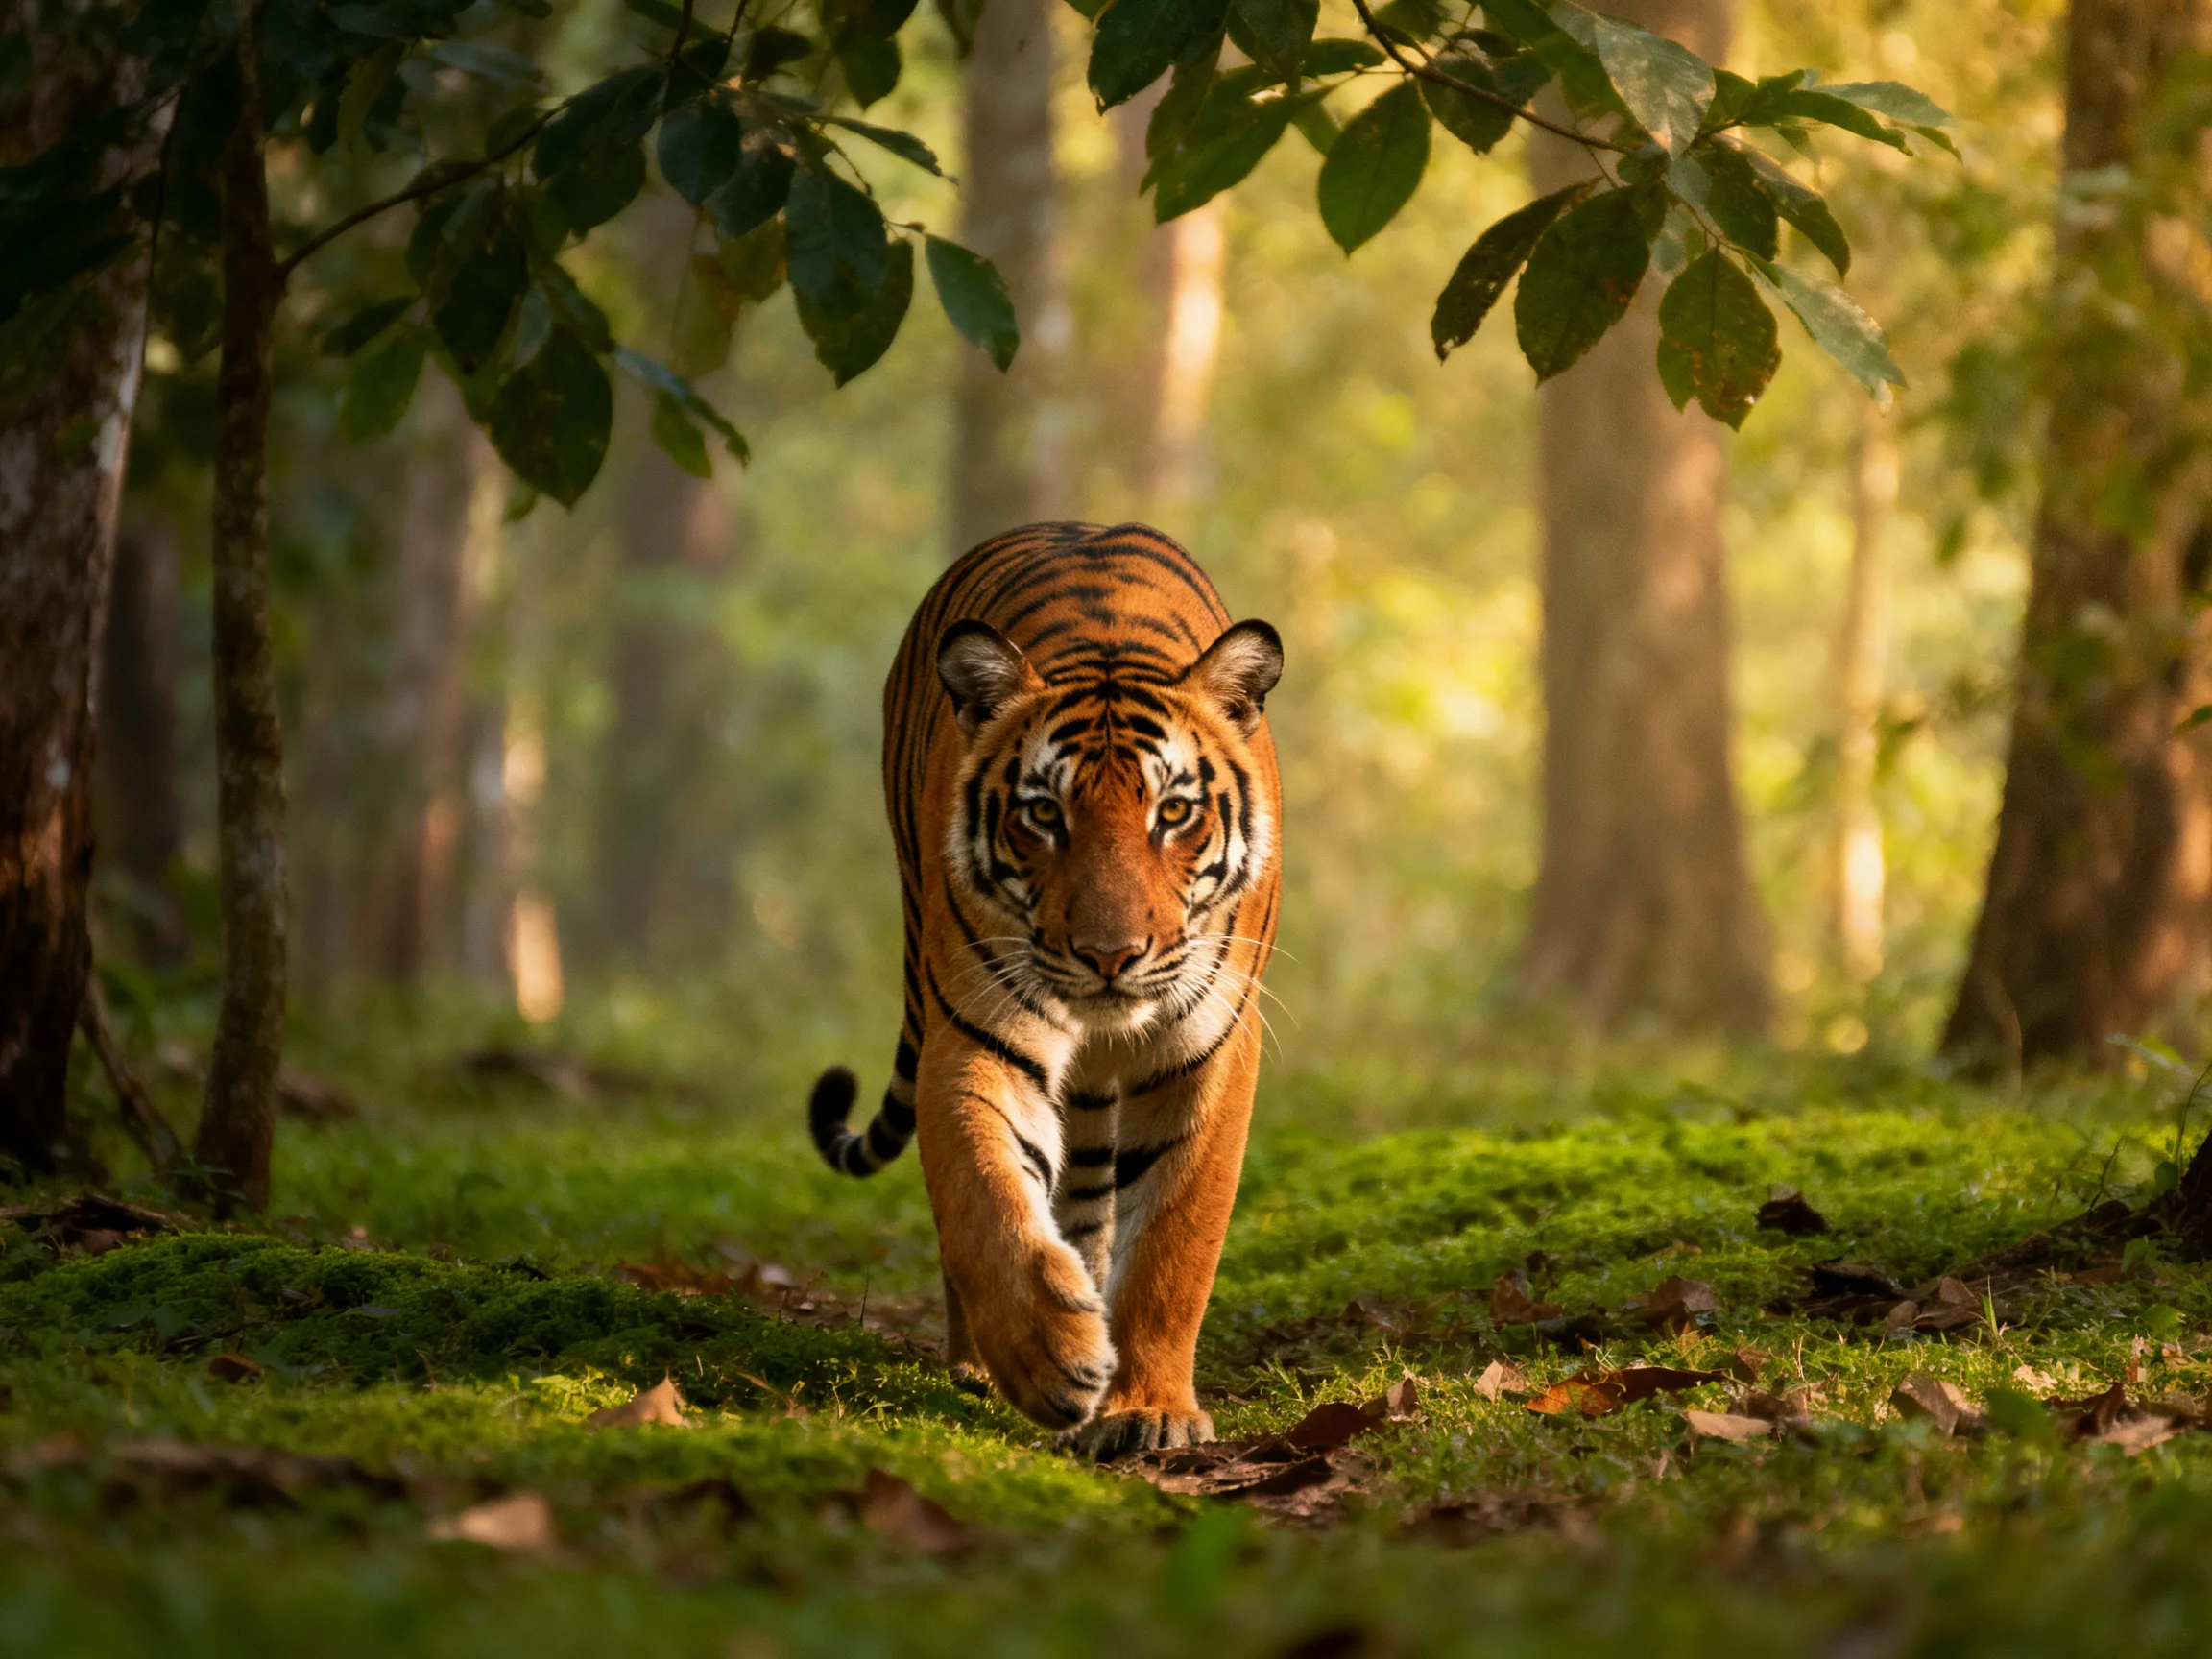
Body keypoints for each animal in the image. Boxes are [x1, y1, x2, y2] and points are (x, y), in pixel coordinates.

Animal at [806, 521, 1283, 1461]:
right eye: (1043, 814)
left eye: (1174, 813)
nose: (1110, 954)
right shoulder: (976, 1031)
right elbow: (984, 1193)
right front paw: (1047, 1357)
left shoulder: (1209, 1046)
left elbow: (1176, 1238)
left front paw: (1149, 1408)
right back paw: (982, 1361)